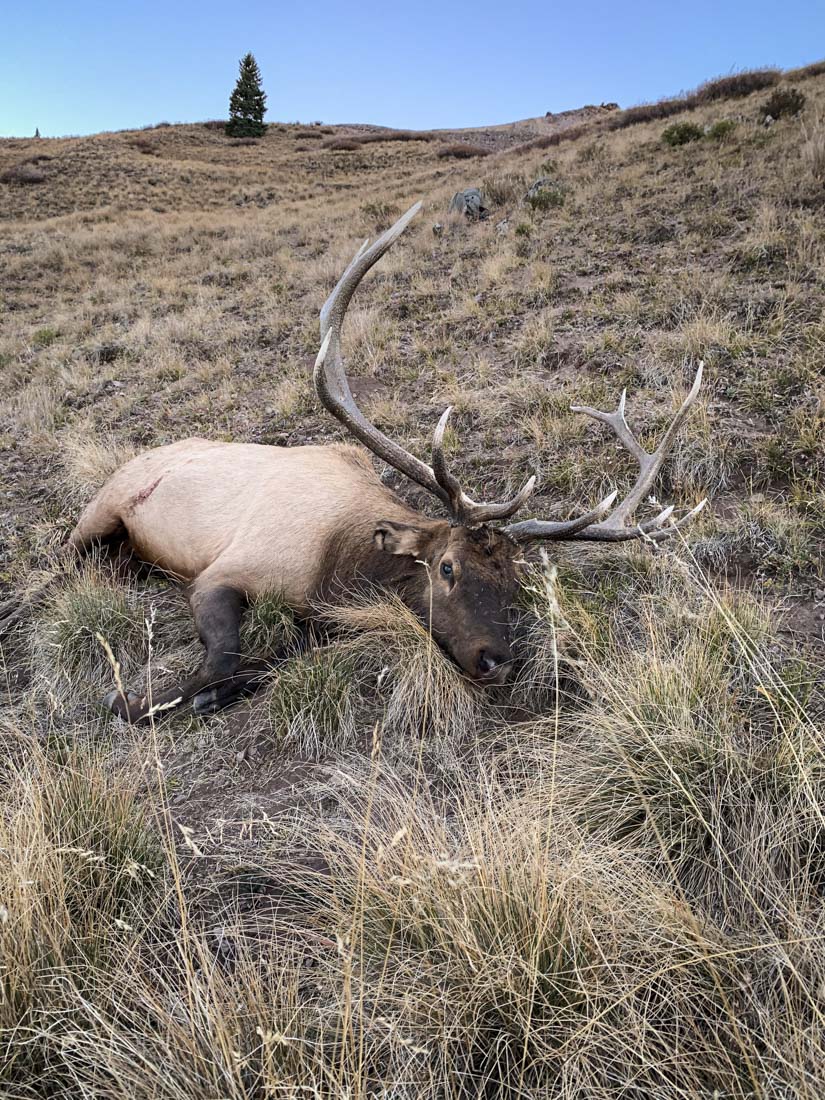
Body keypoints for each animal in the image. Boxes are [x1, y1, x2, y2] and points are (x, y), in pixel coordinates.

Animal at [67, 201, 706, 722]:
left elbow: (270, 659)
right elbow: (223, 656)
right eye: (446, 567)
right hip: (99, 513)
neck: (336, 564)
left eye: (515, 581)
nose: (497, 660)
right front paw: (133, 700)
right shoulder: (224, 571)